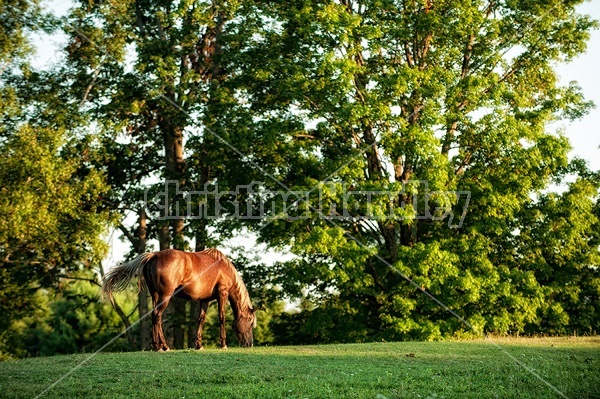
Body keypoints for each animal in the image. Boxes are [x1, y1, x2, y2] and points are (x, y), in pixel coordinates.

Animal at [101, 248, 255, 352]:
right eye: (250, 321)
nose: (250, 344)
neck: (223, 267)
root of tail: (154, 255)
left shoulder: (205, 299)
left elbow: (201, 320)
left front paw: (199, 345)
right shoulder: (222, 294)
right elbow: (221, 317)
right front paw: (223, 344)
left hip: (155, 296)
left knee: (154, 317)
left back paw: (156, 345)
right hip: (165, 296)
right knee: (158, 316)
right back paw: (163, 346)